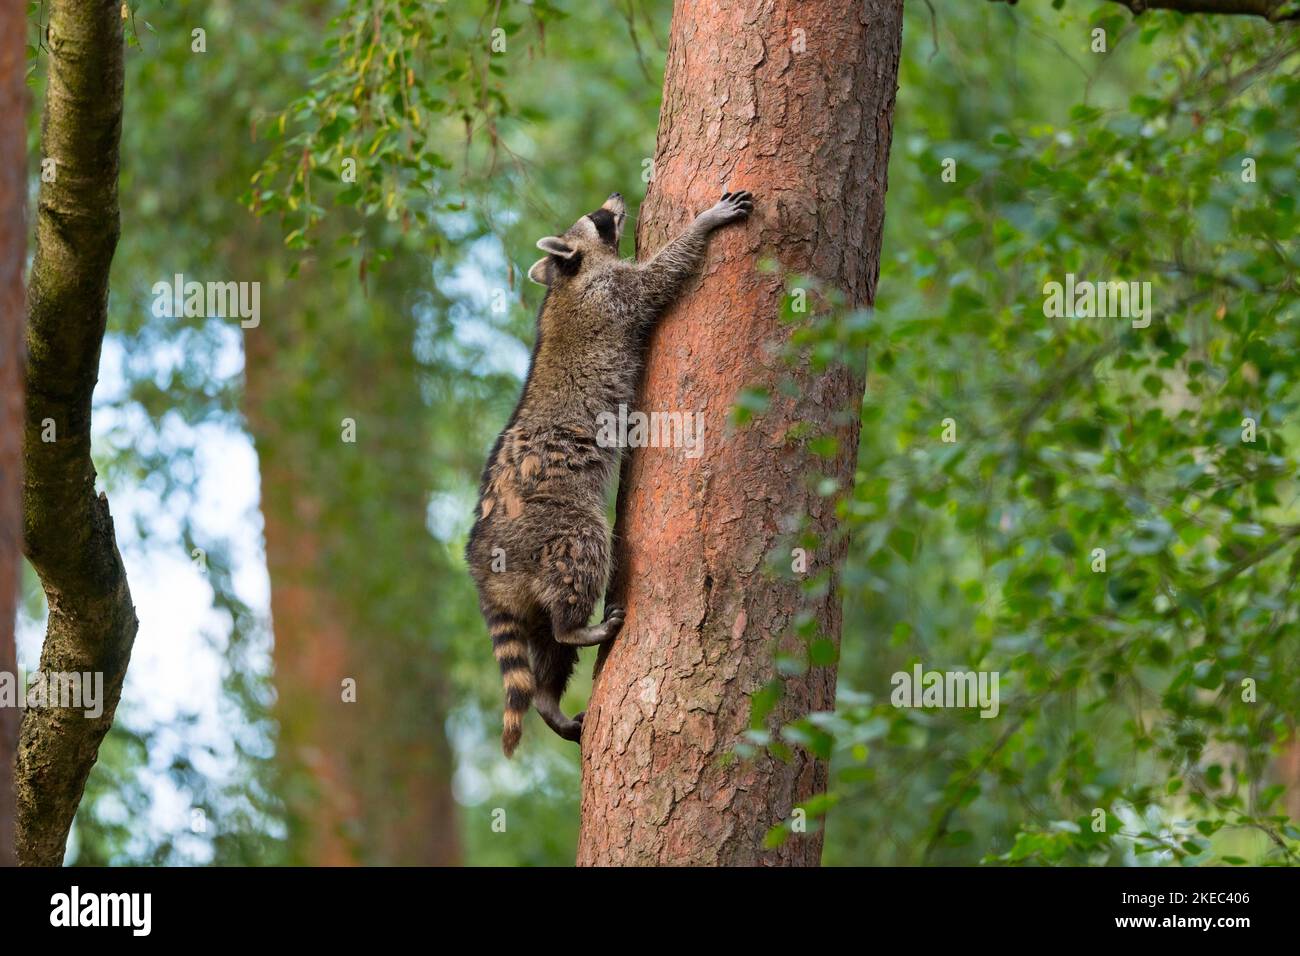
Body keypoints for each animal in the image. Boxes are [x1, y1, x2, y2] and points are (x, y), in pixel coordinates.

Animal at [467, 188, 759, 754]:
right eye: (597, 218)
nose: (619, 196)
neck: (570, 274)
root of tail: (479, 558)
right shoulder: (614, 294)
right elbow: (659, 276)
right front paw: (704, 223)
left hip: (527, 586)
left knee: (544, 644)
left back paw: (547, 696)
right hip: (551, 526)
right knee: (583, 554)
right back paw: (575, 627)